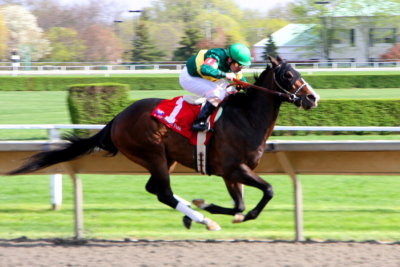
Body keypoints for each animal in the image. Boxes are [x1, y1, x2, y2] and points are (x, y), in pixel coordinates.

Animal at [7, 57, 320, 232]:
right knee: (165, 194)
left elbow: (239, 204)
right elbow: (267, 191)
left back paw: (193, 214)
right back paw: (202, 219)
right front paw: (210, 208)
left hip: (164, 158)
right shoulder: (233, 168)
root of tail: (117, 118)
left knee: (155, 190)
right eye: (288, 75)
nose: (313, 98)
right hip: (152, 152)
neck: (245, 117)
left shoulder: (232, 173)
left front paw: (209, 206)